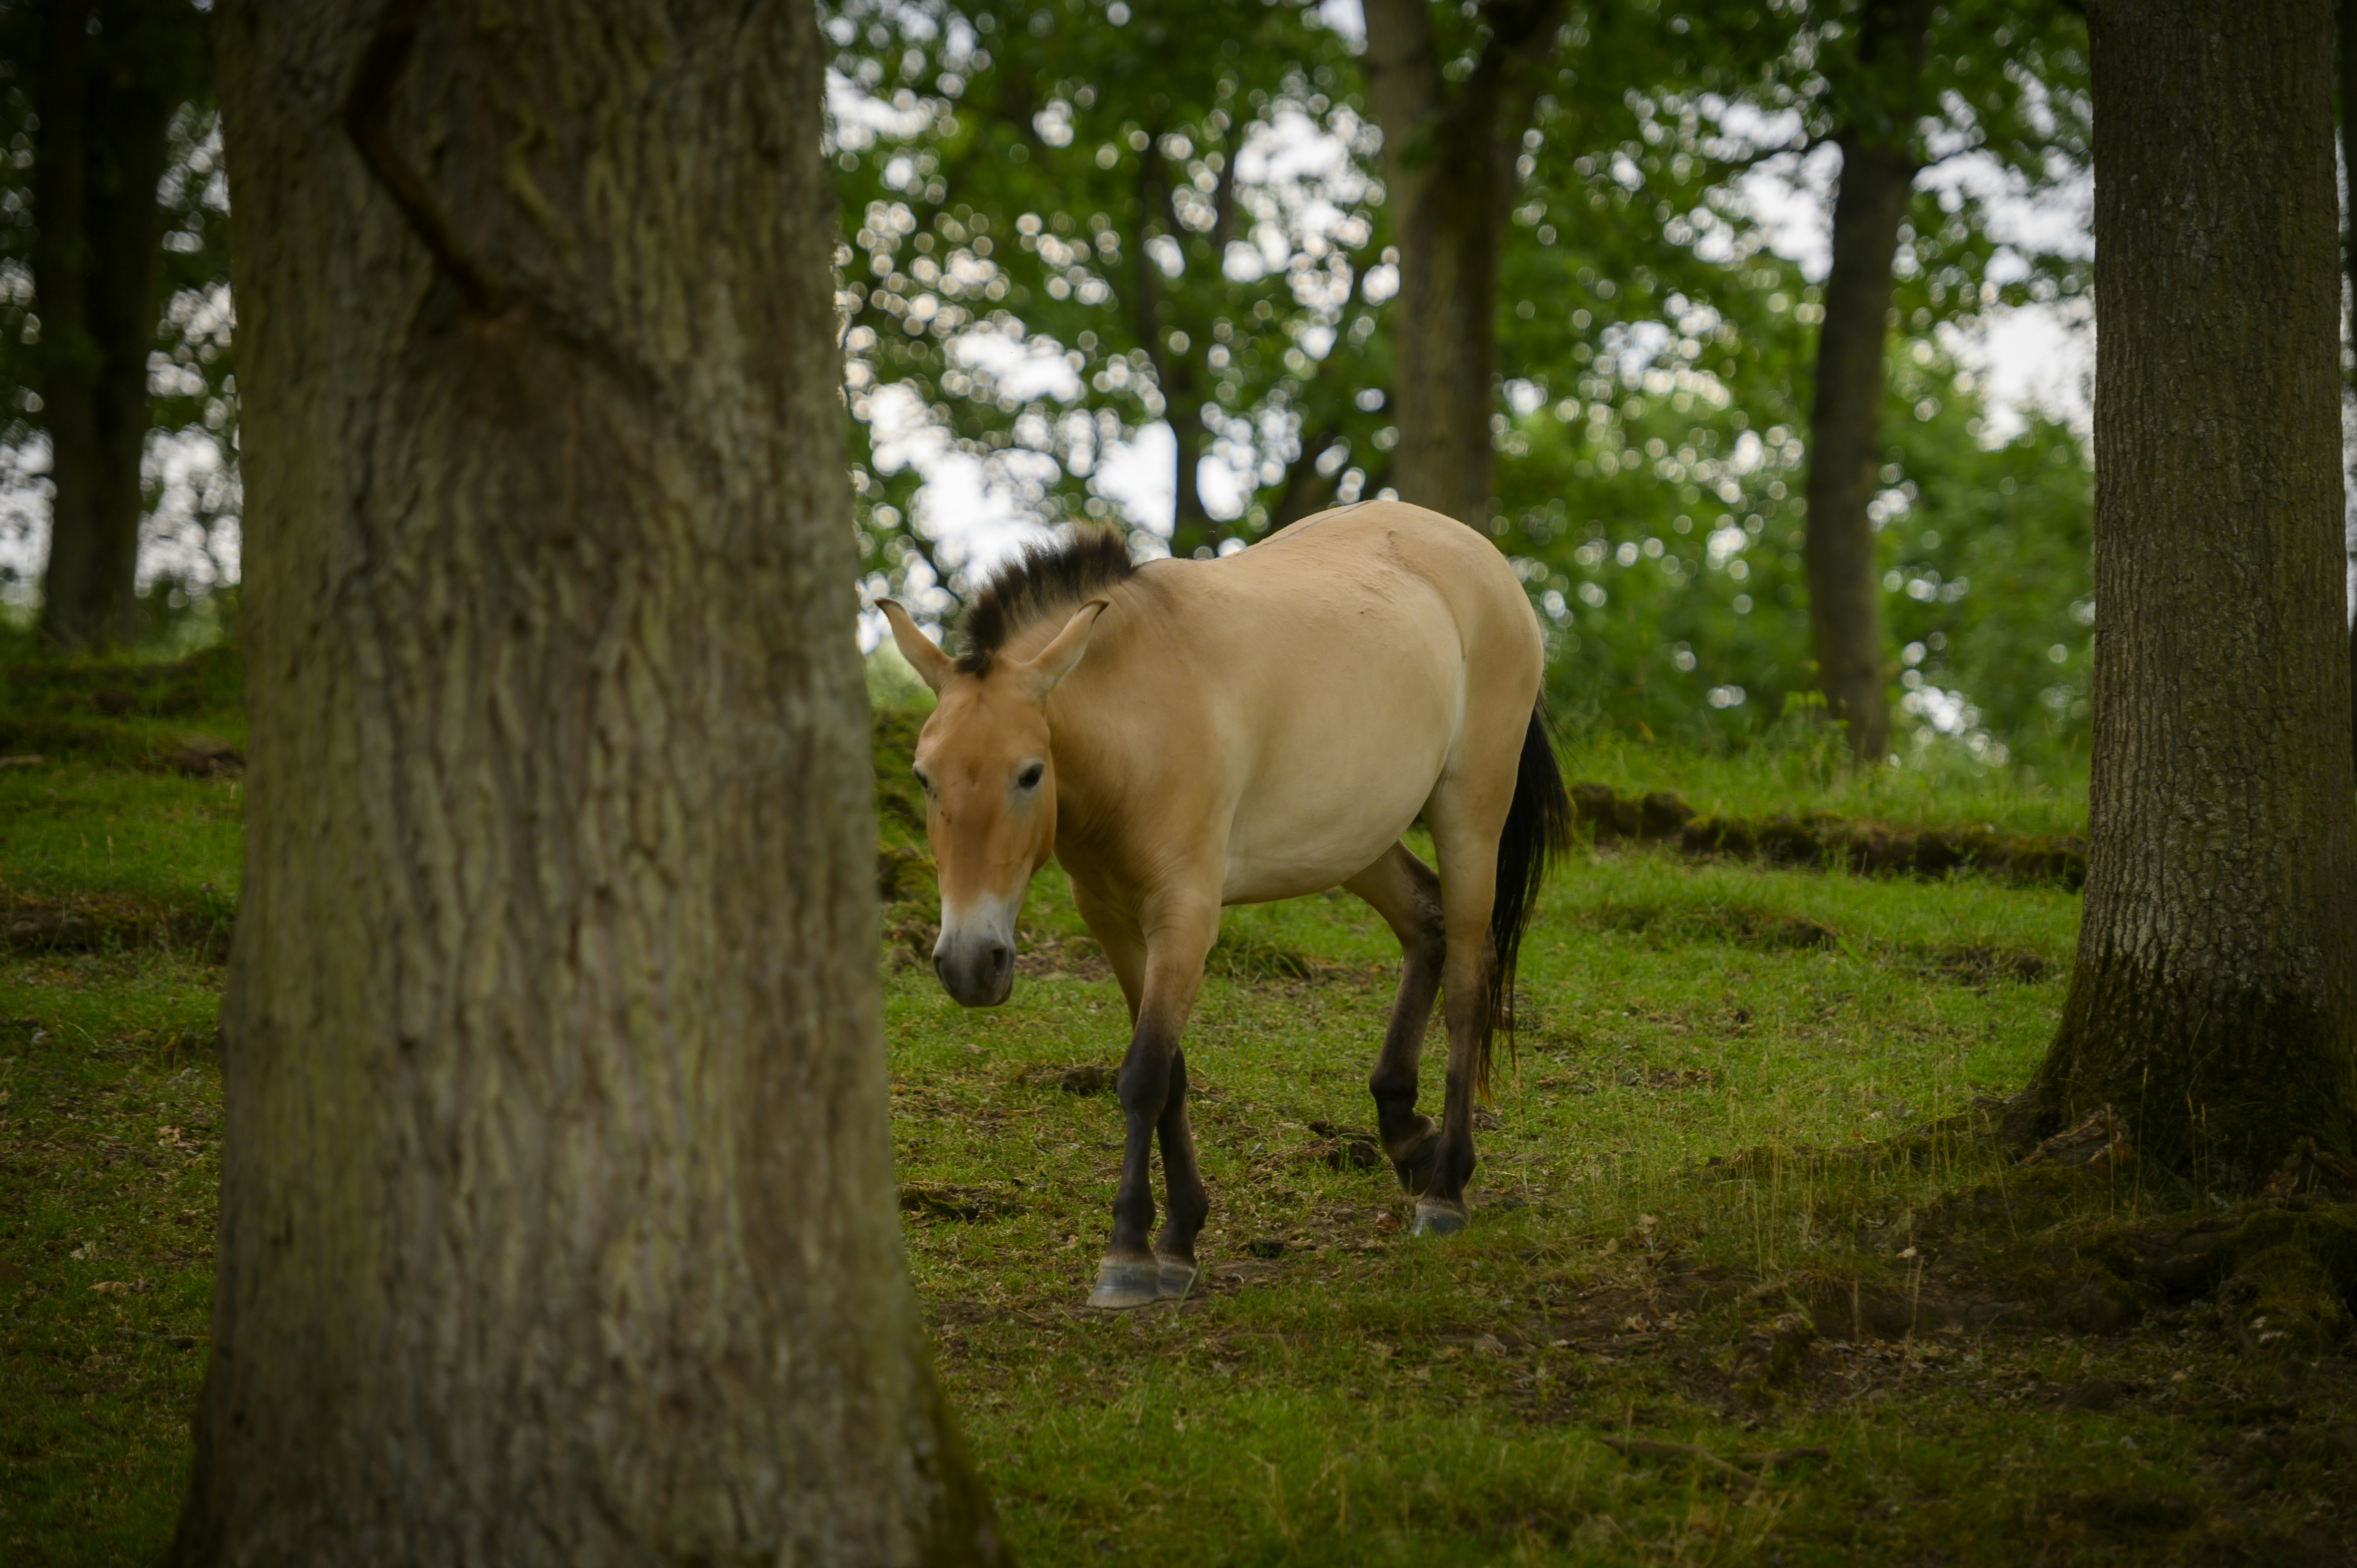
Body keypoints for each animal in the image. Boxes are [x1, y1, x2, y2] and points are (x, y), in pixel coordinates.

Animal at [878, 499, 1574, 1310]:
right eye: (923, 776)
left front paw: (1128, 1254)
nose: (969, 963)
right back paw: (1407, 1133)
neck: (1139, 719)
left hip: (1470, 811)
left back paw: (1445, 1189)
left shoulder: (1185, 916)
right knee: (1427, 925)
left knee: (1468, 978)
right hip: (1355, 836)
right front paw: (1180, 1236)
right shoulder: (1114, 921)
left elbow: (1144, 1072)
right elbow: (1170, 1073)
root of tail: (1479, 555)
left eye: (1028, 774)